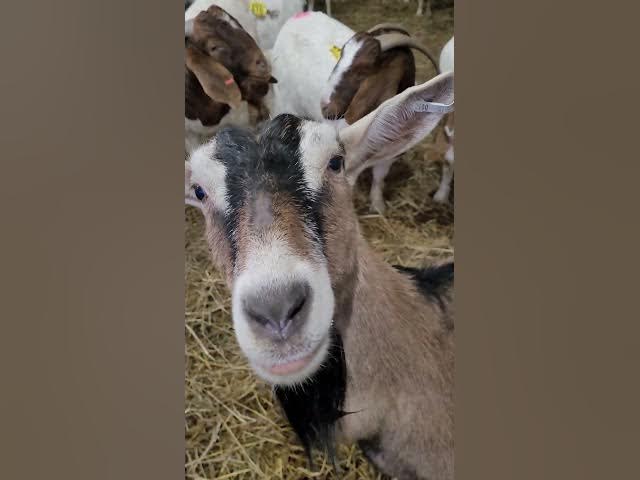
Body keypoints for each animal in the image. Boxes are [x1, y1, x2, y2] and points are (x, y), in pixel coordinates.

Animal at [268, 12, 440, 212]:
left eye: (363, 68)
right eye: (341, 54)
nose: (325, 106)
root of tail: (297, 16)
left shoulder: (389, 155)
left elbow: (379, 177)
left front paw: (378, 204)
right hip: (283, 99)